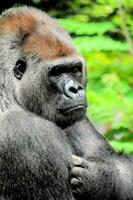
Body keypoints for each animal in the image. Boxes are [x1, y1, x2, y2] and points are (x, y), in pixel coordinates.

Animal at [0, 6, 132, 200]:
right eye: (57, 72)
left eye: (74, 69)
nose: (75, 89)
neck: (9, 91)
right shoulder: (27, 131)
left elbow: (118, 164)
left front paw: (100, 179)